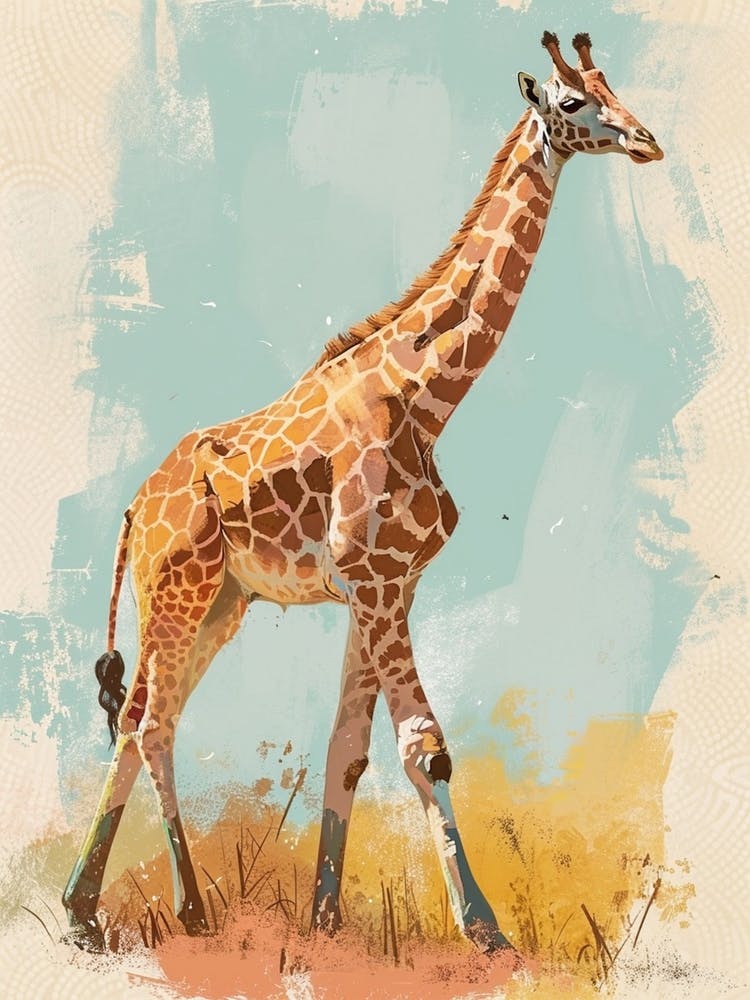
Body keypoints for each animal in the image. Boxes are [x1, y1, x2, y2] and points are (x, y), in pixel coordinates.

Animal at [63, 32, 662, 954]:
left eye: (613, 87)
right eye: (571, 103)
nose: (645, 140)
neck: (428, 395)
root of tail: (135, 509)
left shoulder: (387, 584)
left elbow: (349, 747)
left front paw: (325, 916)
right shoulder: (376, 581)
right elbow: (426, 748)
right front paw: (485, 931)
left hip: (218, 602)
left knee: (135, 722)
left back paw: (83, 910)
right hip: (178, 590)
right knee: (151, 723)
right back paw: (188, 909)